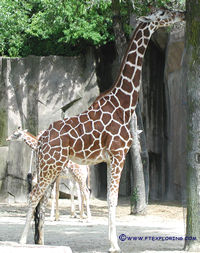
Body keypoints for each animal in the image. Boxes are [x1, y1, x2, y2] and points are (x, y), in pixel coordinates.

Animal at [18, 8, 184, 252]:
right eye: (162, 13)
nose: (181, 14)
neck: (123, 104)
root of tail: (40, 141)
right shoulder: (118, 154)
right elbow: (112, 200)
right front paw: (115, 245)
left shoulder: (108, 158)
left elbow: (108, 200)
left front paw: (110, 242)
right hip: (51, 164)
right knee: (34, 196)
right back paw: (21, 241)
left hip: (48, 165)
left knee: (41, 196)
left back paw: (38, 241)